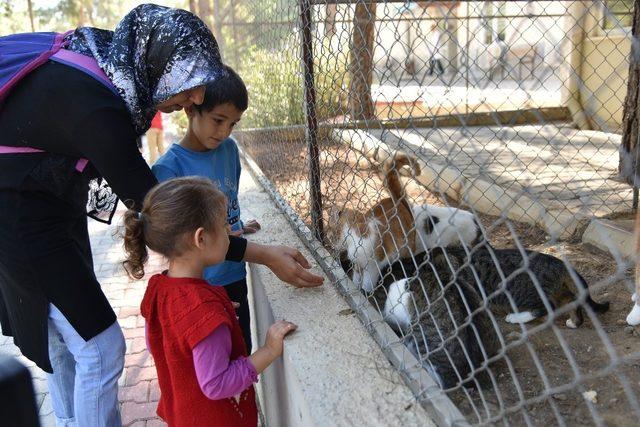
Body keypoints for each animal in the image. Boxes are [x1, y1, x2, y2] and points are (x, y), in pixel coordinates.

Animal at [336, 154, 420, 294]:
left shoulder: (372, 267)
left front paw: (365, 293)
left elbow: (367, 283)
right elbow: (356, 279)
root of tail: (397, 202)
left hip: (407, 247)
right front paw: (356, 287)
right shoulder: (357, 264)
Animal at [440, 242, 608, 330]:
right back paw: (574, 322)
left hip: (521, 293)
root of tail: (559, 263)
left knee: (548, 308)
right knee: (572, 302)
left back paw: (515, 317)